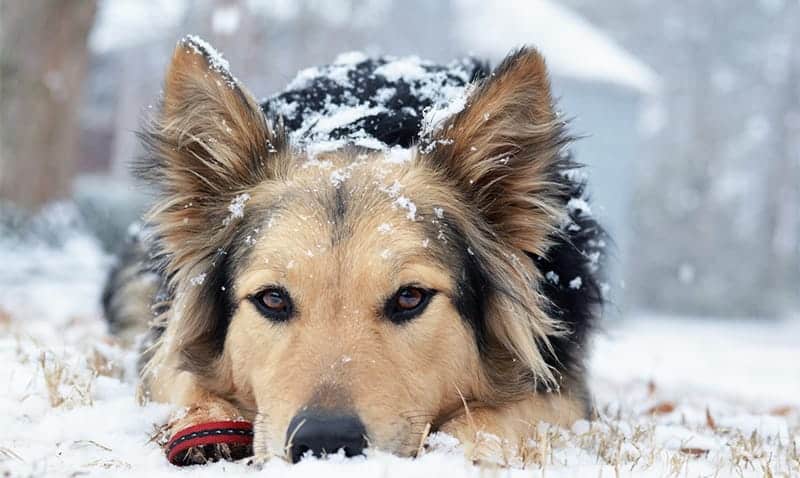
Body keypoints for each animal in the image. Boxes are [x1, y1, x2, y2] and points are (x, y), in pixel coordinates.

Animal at [103, 35, 604, 464]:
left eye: (410, 297)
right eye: (272, 299)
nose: (327, 442)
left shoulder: (564, 387)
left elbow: (505, 415)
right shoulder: (163, 344)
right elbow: (180, 373)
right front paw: (208, 423)